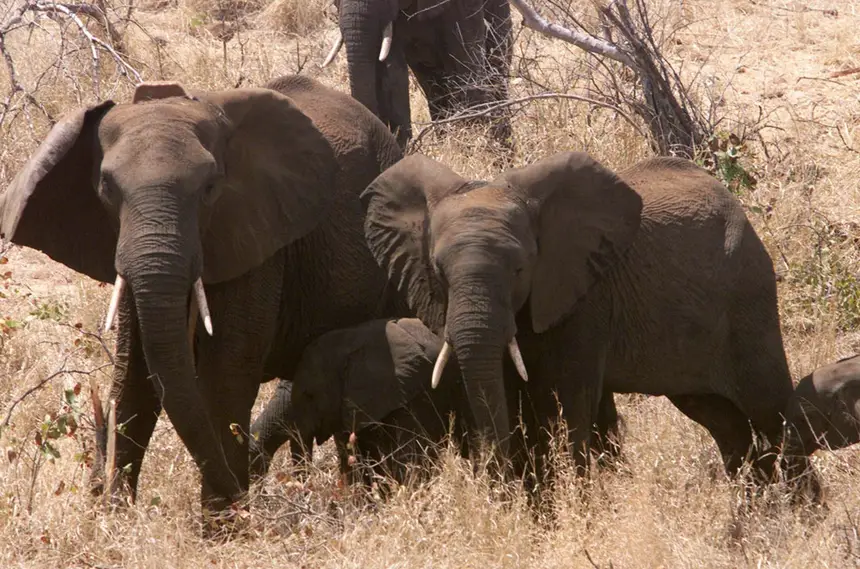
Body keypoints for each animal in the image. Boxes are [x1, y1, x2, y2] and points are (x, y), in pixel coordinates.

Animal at [360, 151, 816, 492]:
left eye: (521, 270)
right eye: (438, 271)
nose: (496, 482)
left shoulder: (584, 298)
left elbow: (566, 405)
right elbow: (507, 391)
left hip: (748, 295)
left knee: (769, 409)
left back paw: (799, 513)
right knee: (724, 421)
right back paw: (754, 510)